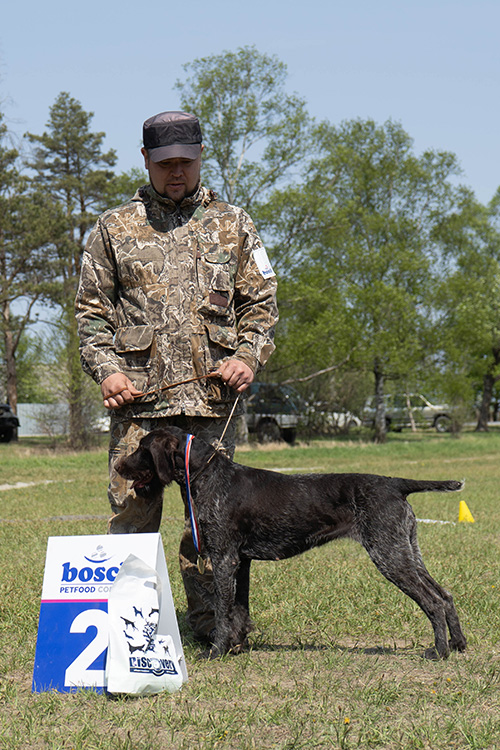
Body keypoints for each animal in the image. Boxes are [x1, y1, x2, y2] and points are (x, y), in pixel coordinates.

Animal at [115, 426, 466, 660]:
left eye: (141, 448)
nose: (118, 466)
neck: (206, 474)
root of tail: (396, 484)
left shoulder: (225, 558)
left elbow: (224, 610)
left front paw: (217, 651)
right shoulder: (241, 562)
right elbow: (239, 610)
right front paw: (238, 646)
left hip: (389, 555)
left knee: (433, 601)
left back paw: (440, 651)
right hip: (407, 551)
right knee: (445, 595)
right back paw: (459, 644)